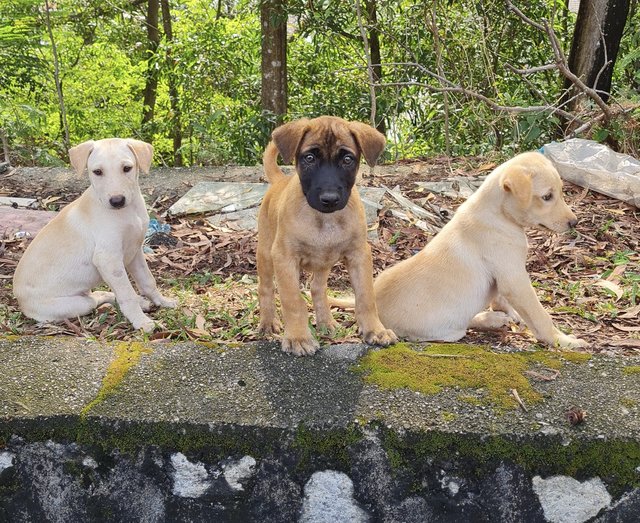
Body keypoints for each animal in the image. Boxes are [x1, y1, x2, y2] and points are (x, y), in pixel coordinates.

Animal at [13, 136, 178, 332]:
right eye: (97, 172)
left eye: (127, 168)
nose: (117, 201)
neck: (127, 212)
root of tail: (20, 301)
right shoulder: (108, 259)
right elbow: (127, 294)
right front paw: (142, 322)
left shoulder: (135, 251)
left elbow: (148, 281)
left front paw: (163, 301)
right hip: (75, 304)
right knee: (96, 300)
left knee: (100, 294)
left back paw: (142, 302)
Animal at [258, 115, 398, 356]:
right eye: (310, 158)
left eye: (348, 159)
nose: (330, 199)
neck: (325, 219)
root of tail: (279, 181)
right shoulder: (285, 257)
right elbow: (293, 301)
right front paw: (298, 337)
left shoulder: (359, 255)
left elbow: (366, 296)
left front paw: (375, 330)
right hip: (266, 255)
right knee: (265, 288)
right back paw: (268, 323)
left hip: (324, 262)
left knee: (317, 288)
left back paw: (326, 322)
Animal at [332, 151, 588, 348]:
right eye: (547, 196)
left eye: (561, 192)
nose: (575, 222)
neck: (498, 214)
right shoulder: (514, 278)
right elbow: (540, 315)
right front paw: (563, 341)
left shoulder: (506, 280)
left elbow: (505, 301)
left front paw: (513, 314)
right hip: (449, 330)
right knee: (464, 324)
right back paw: (490, 320)